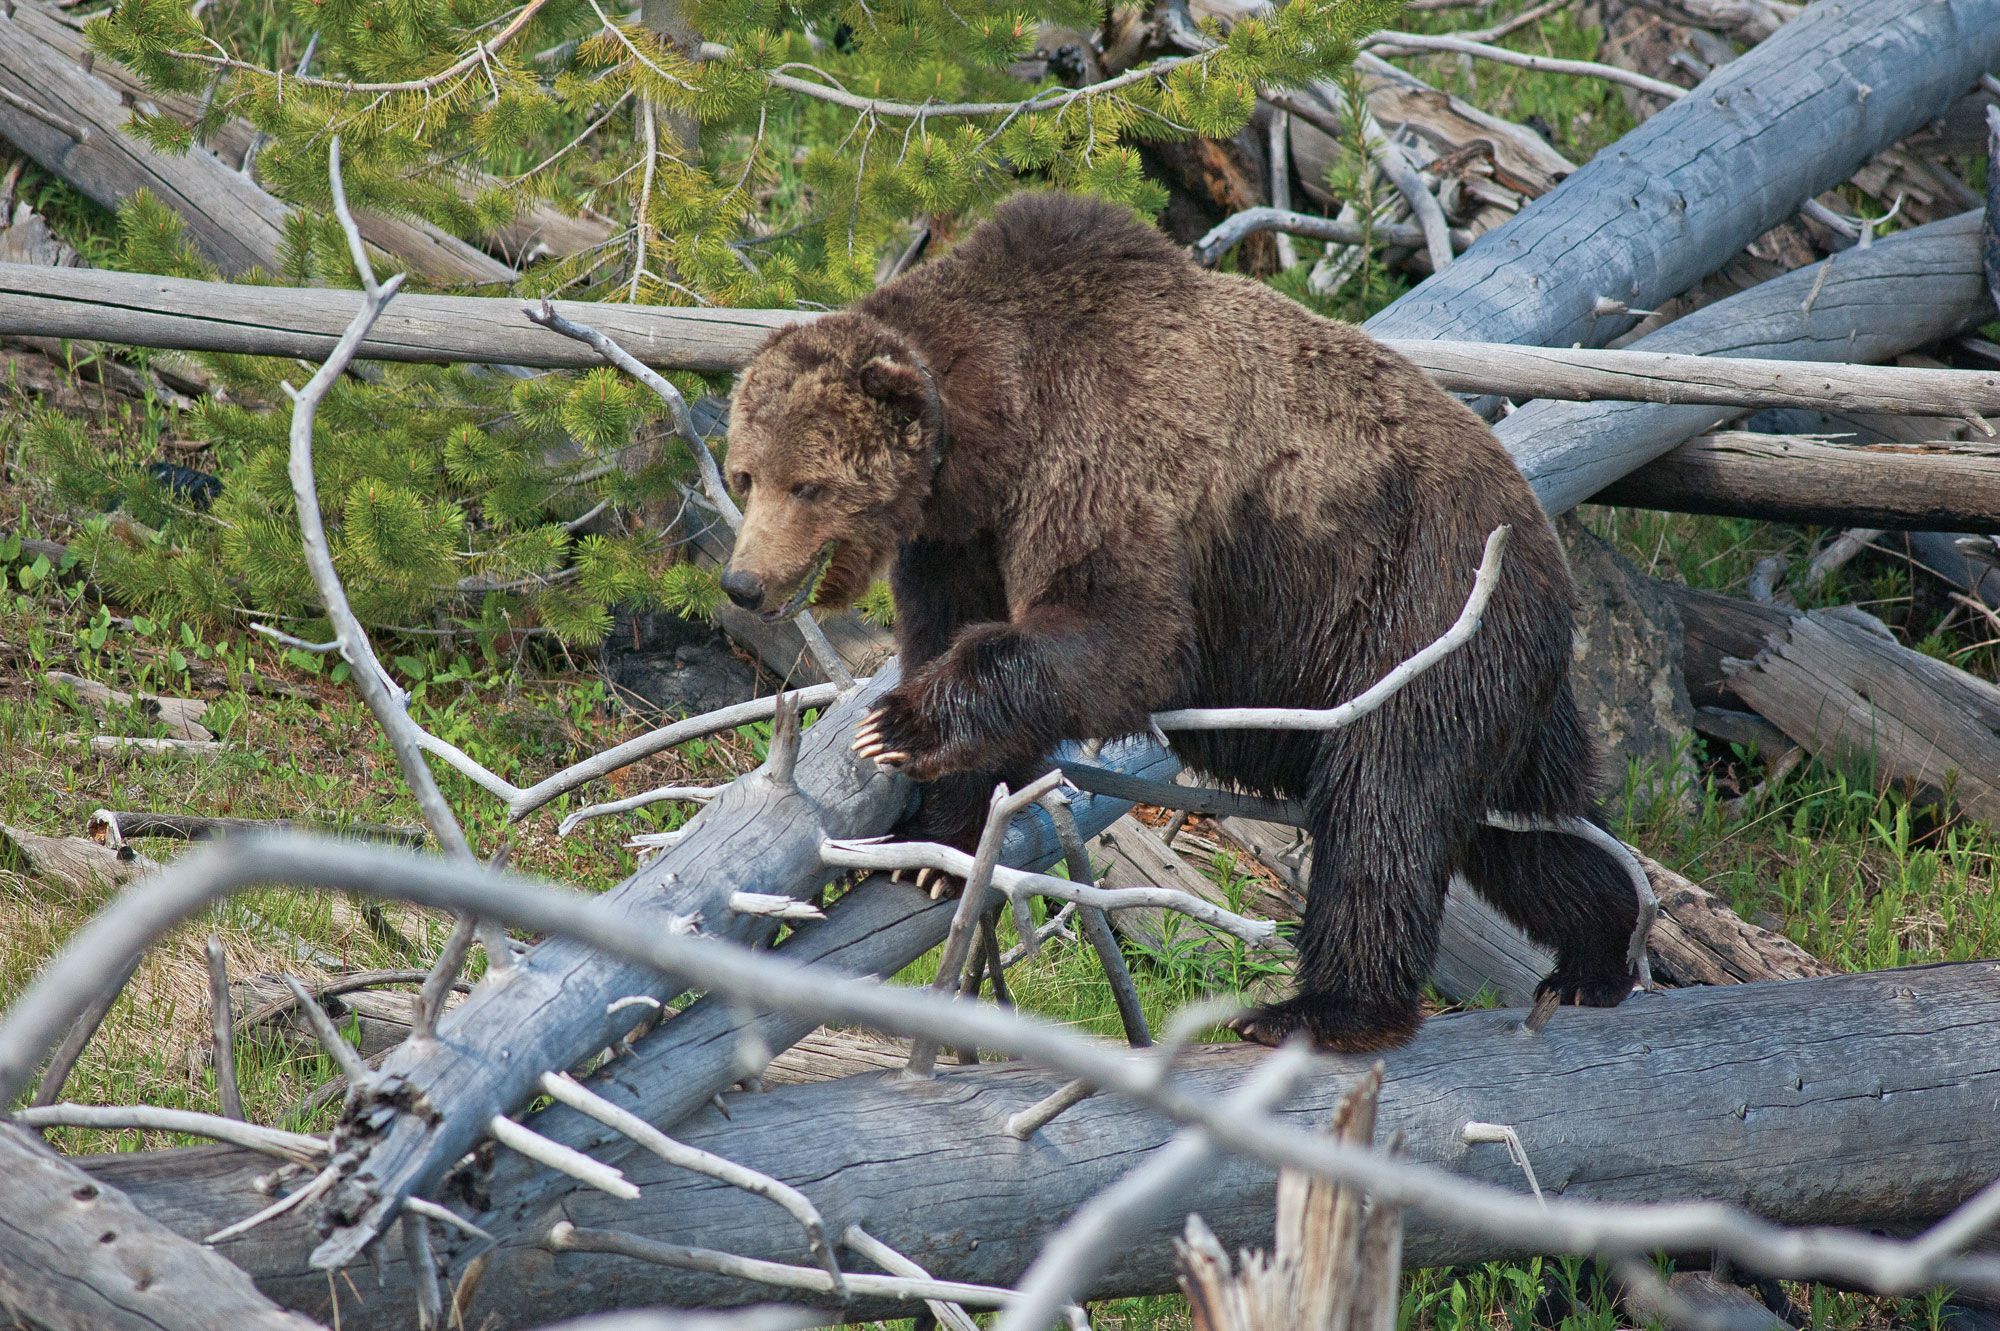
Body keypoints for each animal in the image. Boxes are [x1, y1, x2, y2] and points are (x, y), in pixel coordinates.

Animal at [720, 188, 1640, 1047]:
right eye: (745, 473)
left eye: (806, 483)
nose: (743, 582)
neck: (994, 436)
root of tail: (1541, 542)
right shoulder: (963, 535)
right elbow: (950, 632)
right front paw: (937, 848)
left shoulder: (1101, 457)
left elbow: (1124, 635)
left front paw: (900, 725)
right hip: (1495, 678)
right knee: (1525, 827)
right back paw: (1599, 947)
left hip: (1418, 608)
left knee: (1385, 803)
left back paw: (1317, 1007)